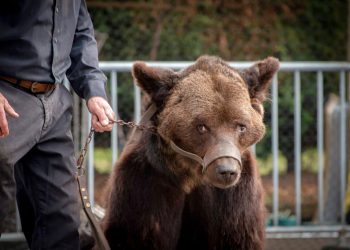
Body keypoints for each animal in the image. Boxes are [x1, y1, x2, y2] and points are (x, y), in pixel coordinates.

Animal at [101, 55, 278, 249]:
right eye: (202, 126)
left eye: (241, 126)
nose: (227, 171)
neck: (190, 175)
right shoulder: (146, 184)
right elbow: (137, 234)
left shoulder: (233, 198)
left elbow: (236, 236)